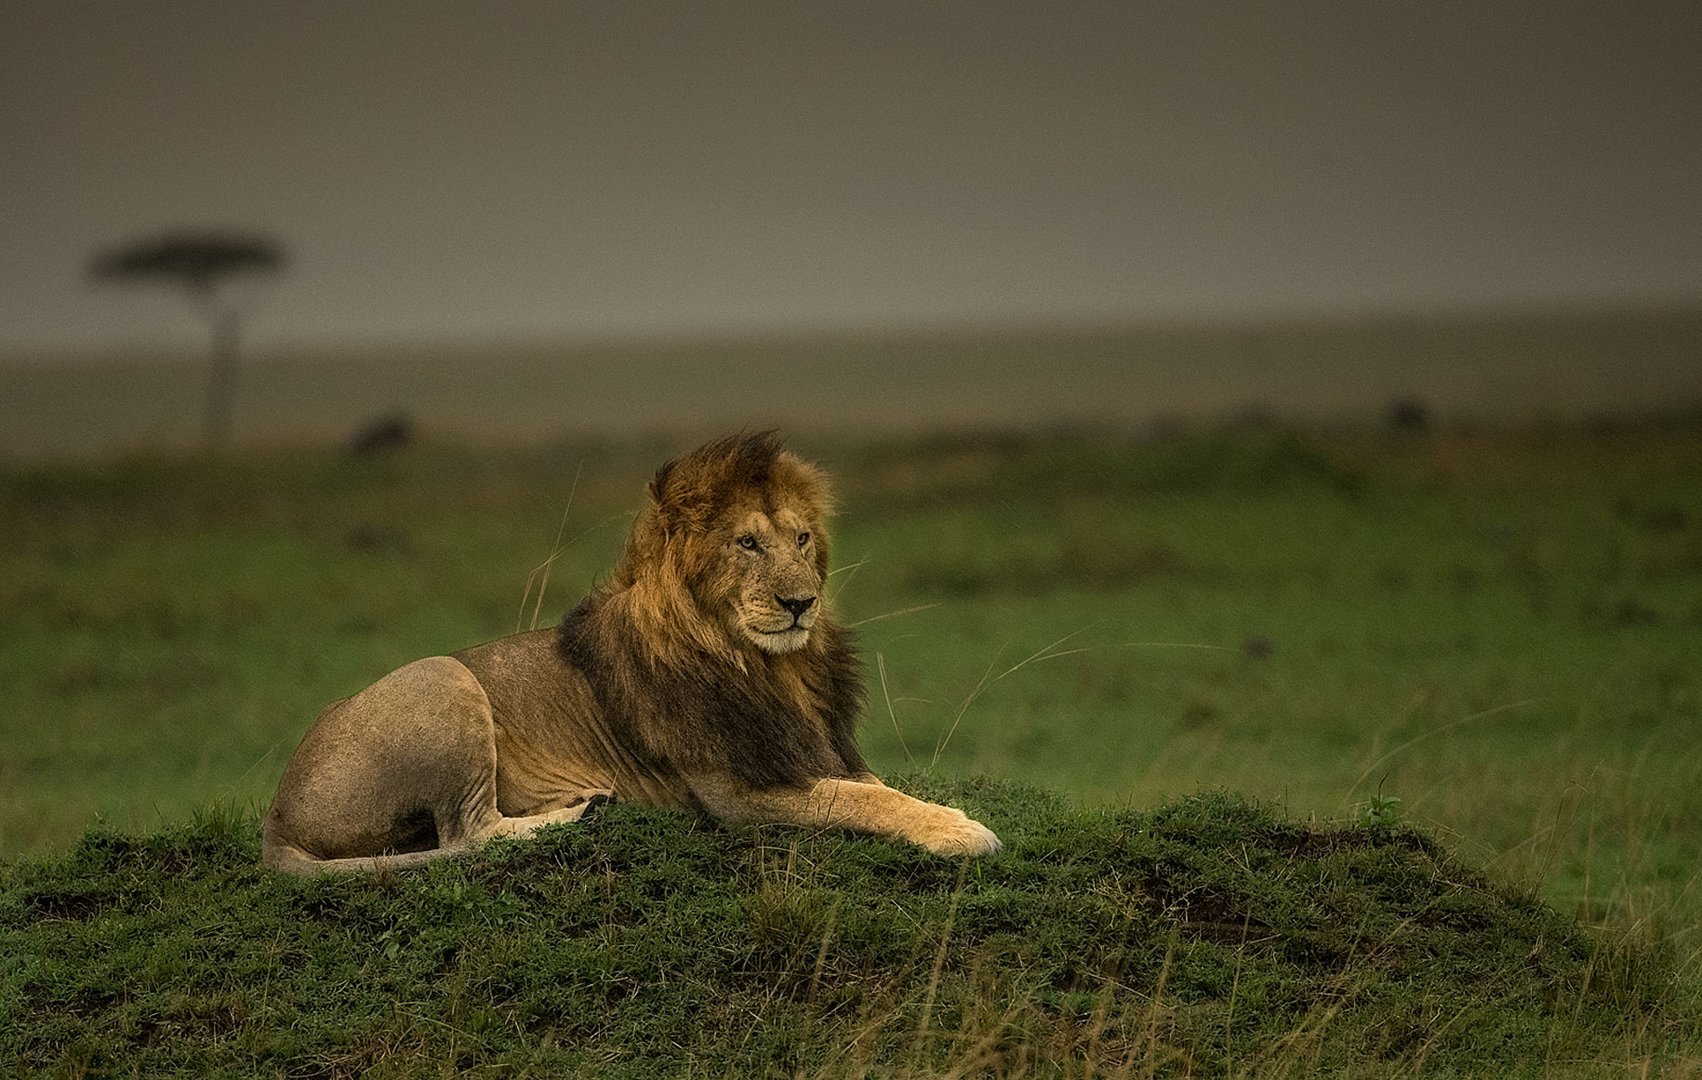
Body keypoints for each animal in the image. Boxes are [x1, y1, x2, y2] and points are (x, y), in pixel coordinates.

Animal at [260, 426, 1000, 877]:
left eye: (802, 540)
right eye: (748, 543)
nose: (802, 602)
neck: (767, 667)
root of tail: (275, 815)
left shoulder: (815, 751)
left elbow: (875, 788)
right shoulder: (734, 794)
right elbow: (853, 802)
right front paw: (962, 832)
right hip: (441, 677)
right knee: (467, 831)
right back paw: (574, 816)